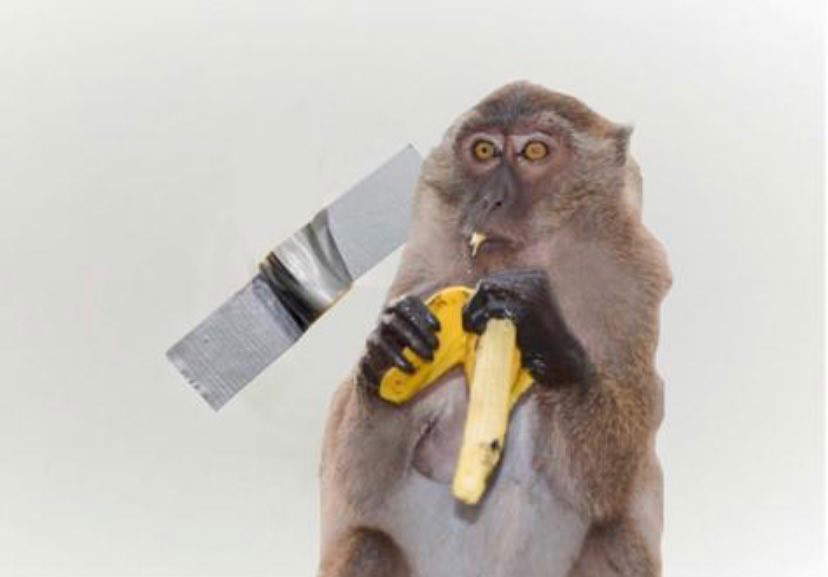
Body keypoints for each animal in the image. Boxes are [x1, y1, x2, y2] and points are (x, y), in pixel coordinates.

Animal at [318, 81, 672, 577]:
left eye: (535, 151)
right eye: (483, 150)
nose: (491, 200)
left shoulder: (634, 289)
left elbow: (608, 482)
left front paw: (548, 337)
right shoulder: (421, 277)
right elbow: (357, 483)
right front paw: (390, 349)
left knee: (613, 536)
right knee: (369, 543)